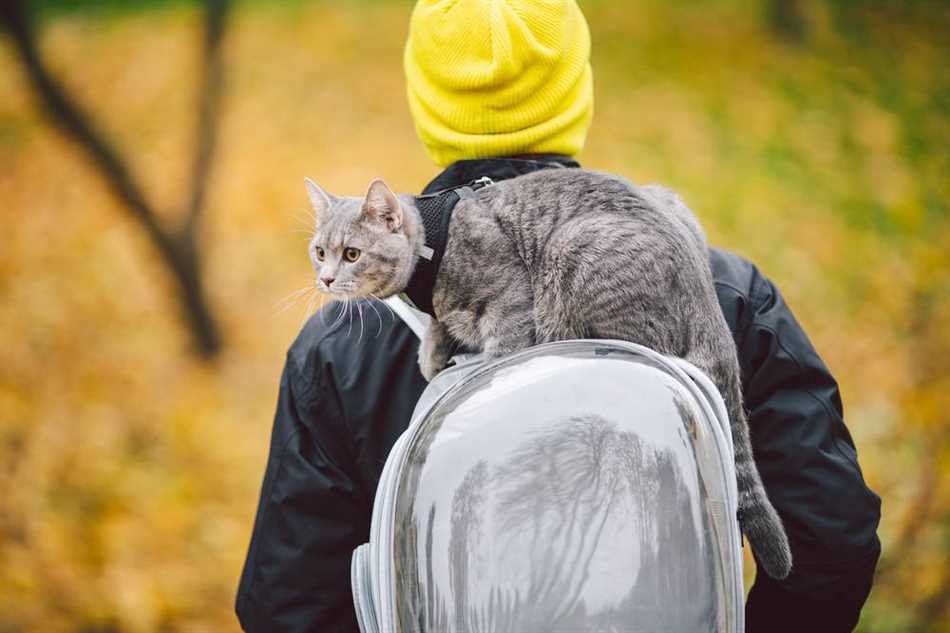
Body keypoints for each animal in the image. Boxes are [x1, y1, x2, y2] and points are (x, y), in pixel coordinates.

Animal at [304, 168, 796, 576]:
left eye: (352, 253)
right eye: (319, 251)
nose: (325, 278)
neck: (429, 250)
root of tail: (705, 298)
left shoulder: (508, 298)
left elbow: (500, 350)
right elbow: (440, 327)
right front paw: (432, 352)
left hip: (576, 256)